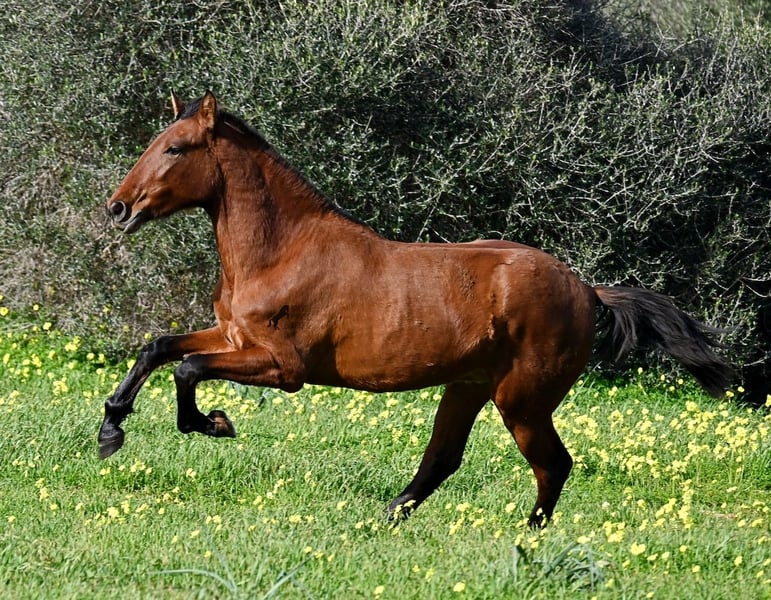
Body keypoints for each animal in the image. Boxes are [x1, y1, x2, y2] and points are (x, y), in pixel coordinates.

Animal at [99, 91, 734, 527]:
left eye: (175, 148)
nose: (118, 207)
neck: (282, 251)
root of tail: (587, 289)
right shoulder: (232, 337)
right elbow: (159, 348)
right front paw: (111, 428)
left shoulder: (284, 368)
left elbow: (186, 369)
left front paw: (212, 423)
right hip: (470, 387)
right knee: (444, 458)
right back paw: (387, 518)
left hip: (522, 400)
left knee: (553, 464)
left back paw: (526, 536)